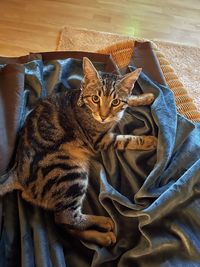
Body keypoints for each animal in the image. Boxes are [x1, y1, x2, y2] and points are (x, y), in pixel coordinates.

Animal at [0, 57, 156, 248]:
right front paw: (150, 140)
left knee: (66, 225)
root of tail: (16, 173)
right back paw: (104, 227)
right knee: (67, 218)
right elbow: (127, 139)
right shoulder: (101, 141)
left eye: (115, 102)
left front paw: (145, 97)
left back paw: (100, 235)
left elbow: (130, 99)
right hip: (71, 174)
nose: (103, 116)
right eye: (96, 98)